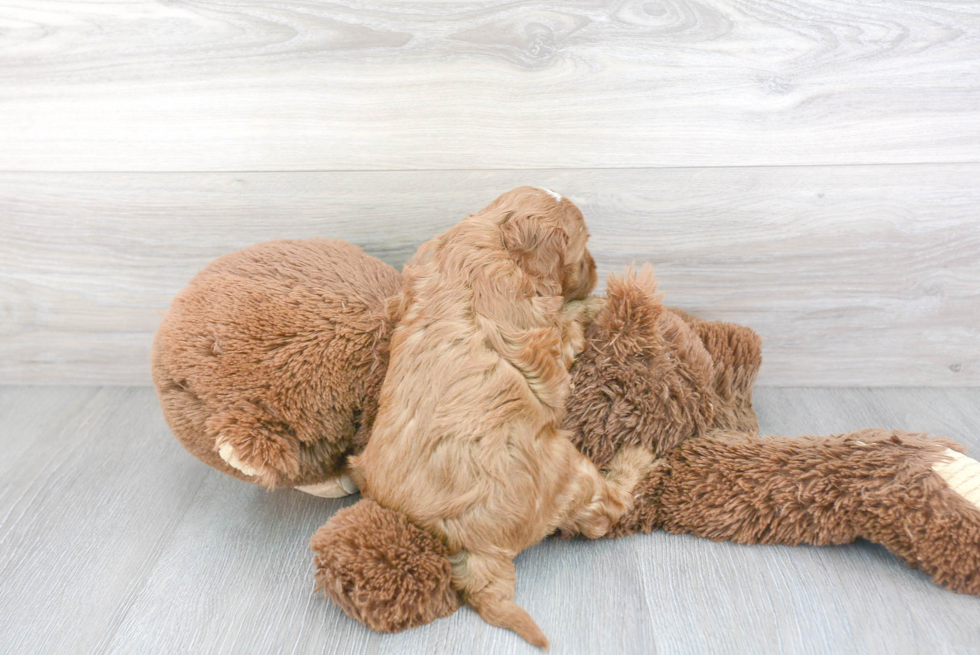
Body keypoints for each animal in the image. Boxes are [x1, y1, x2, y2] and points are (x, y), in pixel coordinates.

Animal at [348, 187, 656, 648]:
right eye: (581, 251)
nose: (597, 271)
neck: (494, 235)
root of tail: (469, 546)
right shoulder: (547, 334)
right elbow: (569, 322)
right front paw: (595, 303)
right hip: (568, 471)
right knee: (606, 511)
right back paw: (634, 459)